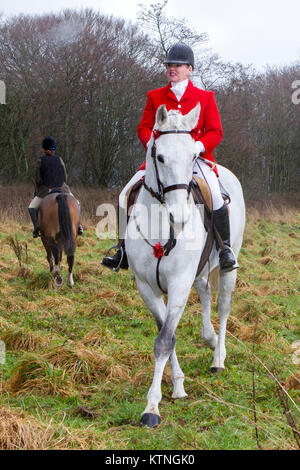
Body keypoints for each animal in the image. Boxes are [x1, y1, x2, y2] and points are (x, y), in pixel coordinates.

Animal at [125, 104, 245, 428]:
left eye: (193, 156)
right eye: (160, 156)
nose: (179, 216)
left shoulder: (179, 283)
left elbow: (165, 340)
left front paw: (151, 408)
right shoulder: (147, 288)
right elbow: (167, 335)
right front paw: (177, 386)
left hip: (228, 268)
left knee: (223, 307)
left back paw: (218, 358)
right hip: (198, 272)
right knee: (204, 292)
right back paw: (210, 339)